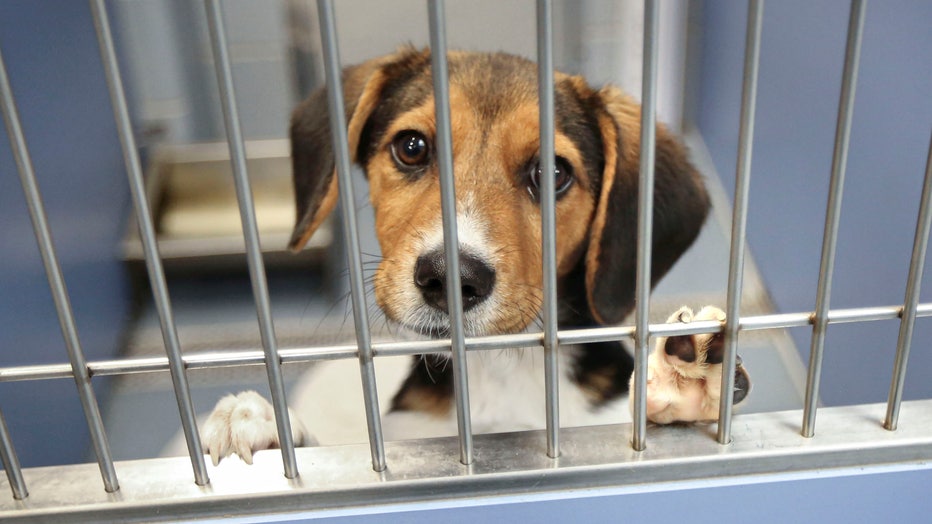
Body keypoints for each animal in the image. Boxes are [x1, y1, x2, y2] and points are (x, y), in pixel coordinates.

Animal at [198, 49, 748, 464]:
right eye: (412, 147)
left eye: (553, 172)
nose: (449, 278)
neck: (498, 370)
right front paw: (266, 426)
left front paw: (682, 379)